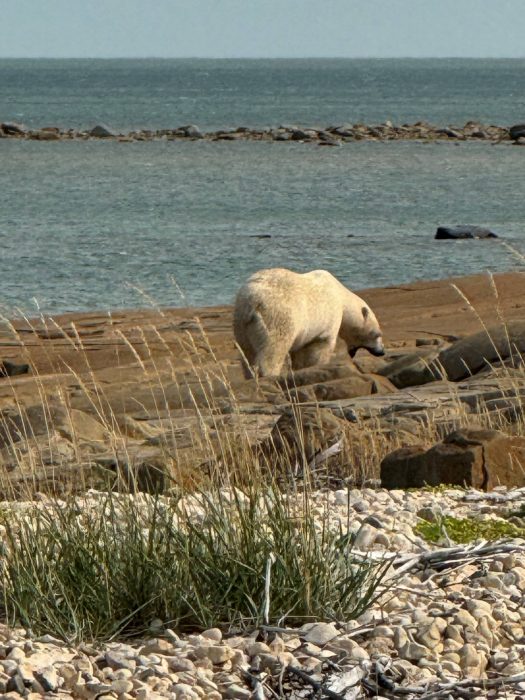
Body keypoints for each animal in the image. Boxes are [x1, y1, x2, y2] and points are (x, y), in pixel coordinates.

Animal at [233, 268, 384, 378]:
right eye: (377, 334)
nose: (381, 351)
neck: (341, 296)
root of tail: (251, 302)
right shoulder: (328, 320)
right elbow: (319, 348)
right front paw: (317, 366)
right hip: (278, 317)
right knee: (274, 349)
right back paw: (270, 374)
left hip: (241, 324)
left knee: (247, 352)